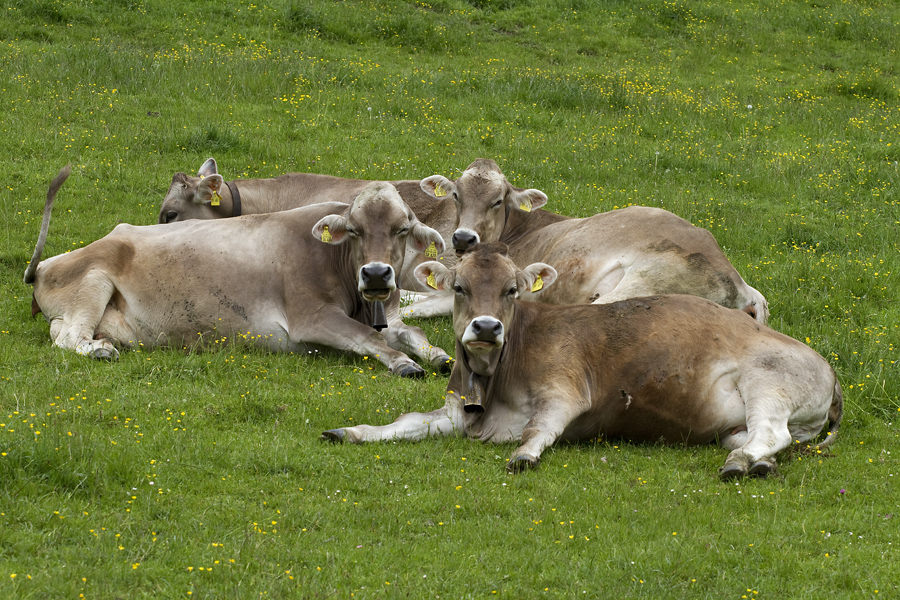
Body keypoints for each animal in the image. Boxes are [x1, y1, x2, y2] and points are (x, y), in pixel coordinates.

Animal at [326, 241, 844, 480]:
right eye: (459, 287)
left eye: (512, 290)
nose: (487, 328)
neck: (495, 380)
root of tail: (827, 367)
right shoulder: (455, 410)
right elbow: (407, 422)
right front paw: (351, 431)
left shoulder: (566, 390)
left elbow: (538, 429)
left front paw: (524, 455)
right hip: (733, 424)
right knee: (762, 438)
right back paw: (759, 463)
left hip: (769, 382)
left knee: (771, 432)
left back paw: (742, 463)